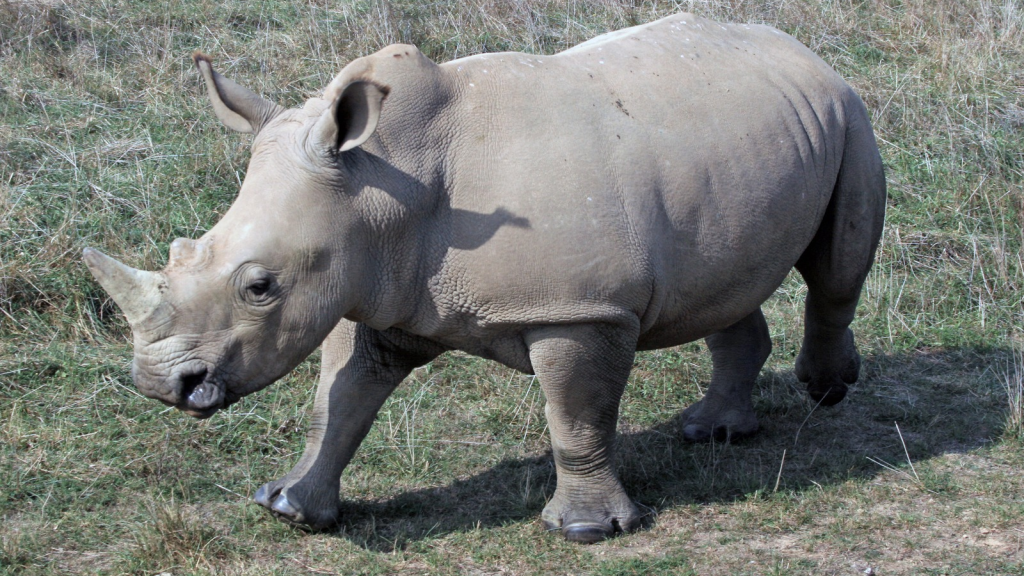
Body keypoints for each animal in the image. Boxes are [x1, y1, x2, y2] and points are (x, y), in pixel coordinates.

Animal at [83, 14, 884, 541]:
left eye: (259, 287)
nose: (160, 385)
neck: (383, 186)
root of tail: (795, 46)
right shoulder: (376, 288)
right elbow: (339, 400)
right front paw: (288, 506)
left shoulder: (578, 307)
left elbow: (575, 414)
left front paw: (586, 532)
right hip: (744, 143)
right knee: (725, 284)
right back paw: (714, 432)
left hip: (848, 113)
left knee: (836, 268)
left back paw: (826, 388)